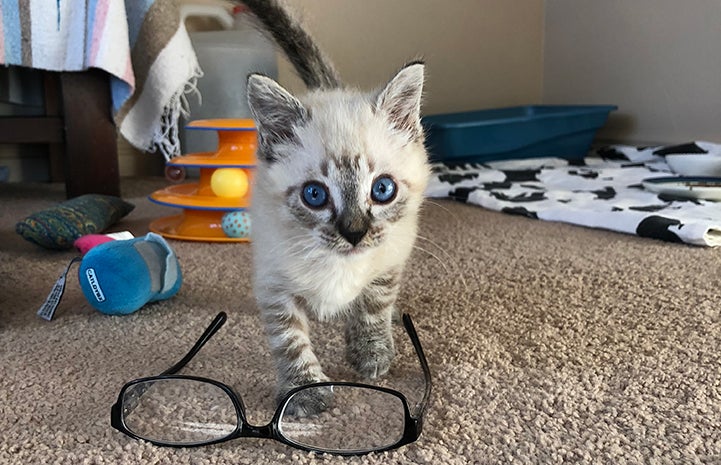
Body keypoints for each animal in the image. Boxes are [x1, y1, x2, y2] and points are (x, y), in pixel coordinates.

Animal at [242, 0, 428, 414]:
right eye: (315, 195)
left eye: (383, 189)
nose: (354, 233)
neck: (338, 264)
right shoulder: (274, 281)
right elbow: (289, 338)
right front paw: (304, 389)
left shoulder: (391, 256)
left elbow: (374, 305)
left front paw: (371, 353)